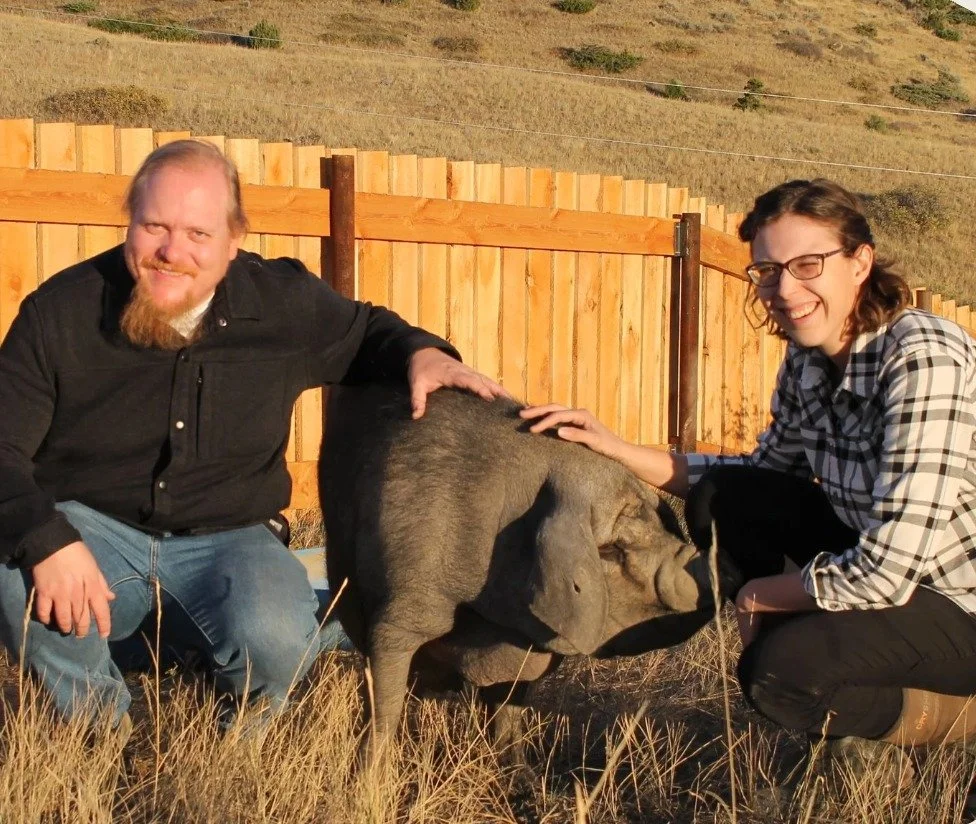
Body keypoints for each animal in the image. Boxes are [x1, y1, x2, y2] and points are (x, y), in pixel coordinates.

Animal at [319, 382, 740, 755]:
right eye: (610, 549)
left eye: (658, 521)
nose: (707, 559)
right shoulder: (398, 618)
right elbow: (384, 712)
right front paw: (368, 786)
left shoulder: (528, 640)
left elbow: (509, 711)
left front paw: (518, 773)